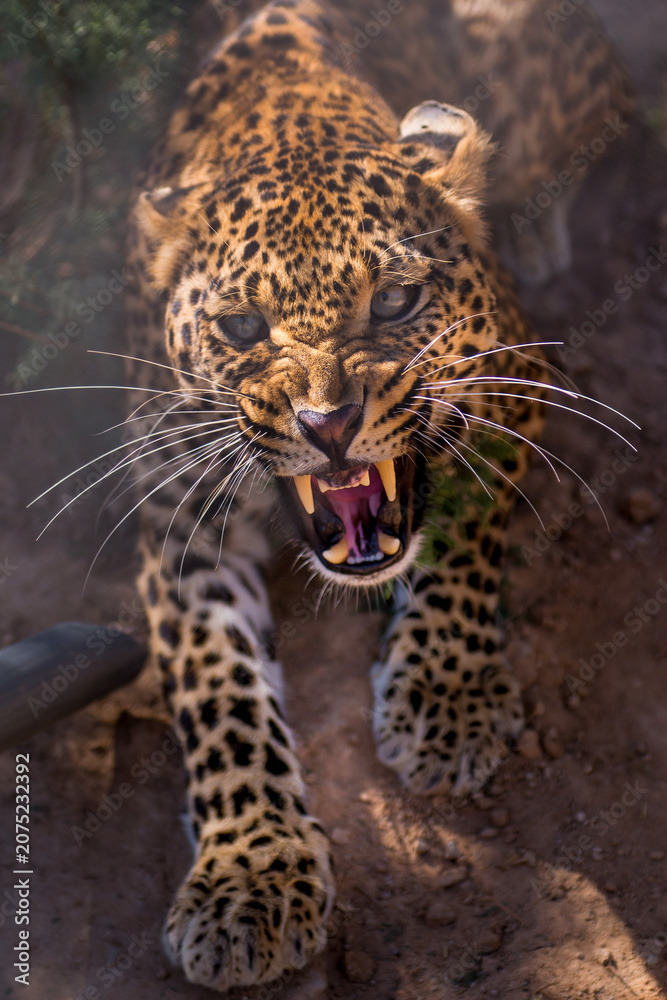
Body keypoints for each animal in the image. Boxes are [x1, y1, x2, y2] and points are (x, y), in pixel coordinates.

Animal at [122, 0, 633, 990]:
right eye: (240, 327)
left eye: (394, 301)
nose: (327, 423)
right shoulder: (177, 517)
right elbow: (217, 688)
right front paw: (248, 874)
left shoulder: (509, 389)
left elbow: (460, 543)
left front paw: (444, 700)